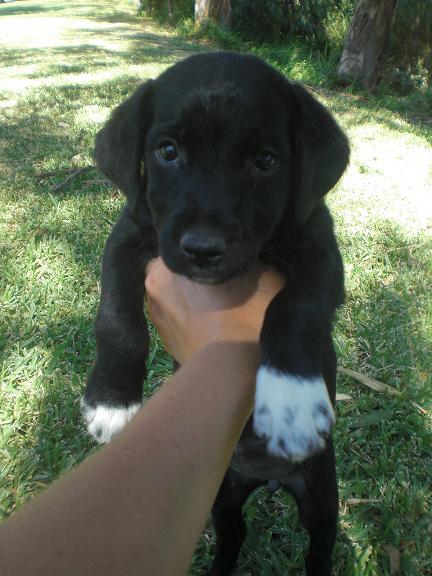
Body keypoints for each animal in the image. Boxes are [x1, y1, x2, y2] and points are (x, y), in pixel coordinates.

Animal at [81, 51, 350, 572]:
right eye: (167, 151)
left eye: (265, 161)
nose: (203, 249)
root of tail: (267, 476)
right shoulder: (129, 235)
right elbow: (117, 318)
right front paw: (112, 399)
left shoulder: (320, 249)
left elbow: (295, 310)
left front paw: (290, 397)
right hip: (222, 493)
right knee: (233, 533)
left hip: (321, 498)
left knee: (320, 546)